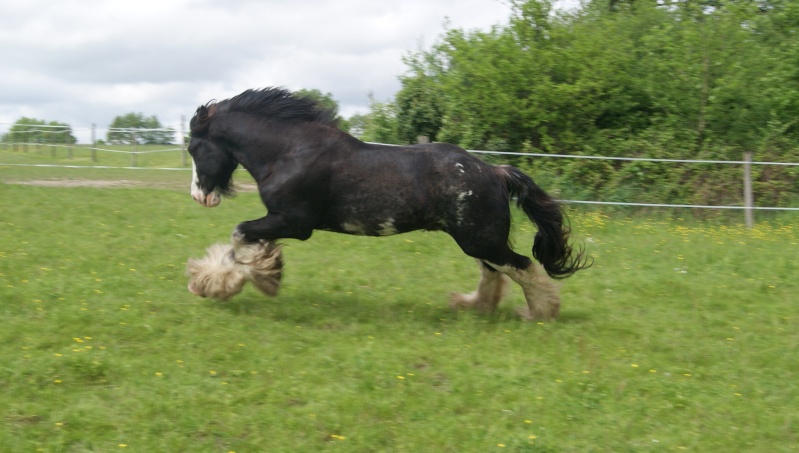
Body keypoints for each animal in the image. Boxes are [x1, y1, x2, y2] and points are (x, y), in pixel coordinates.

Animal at [188, 86, 588, 320]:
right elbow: (246, 243)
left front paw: (224, 283)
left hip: (481, 238)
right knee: (493, 272)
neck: (290, 151)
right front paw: (257, 273)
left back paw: (540, 313)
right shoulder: (279, 220)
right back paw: (471, 307)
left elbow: (239, 235)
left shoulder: (294, 222)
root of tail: (495, 170)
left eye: (193, 148)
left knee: (520, 266)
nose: (200, 197)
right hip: (478, 238)